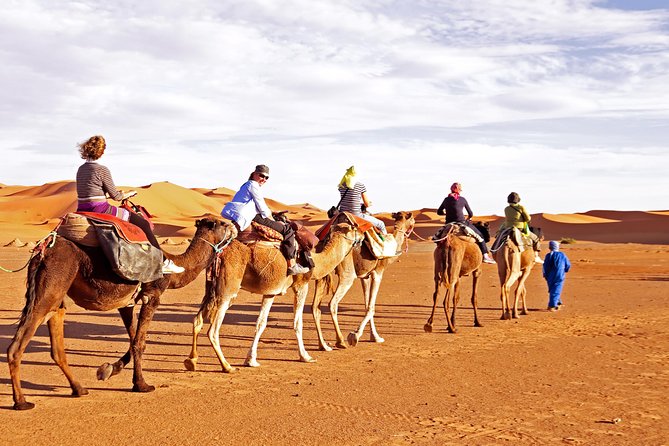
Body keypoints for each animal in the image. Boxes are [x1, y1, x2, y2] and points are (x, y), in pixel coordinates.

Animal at [7, 215, 236, 410]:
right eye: (222, 223)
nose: (234, 226)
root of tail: (43, 249)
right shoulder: (152, 296)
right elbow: (140, 342)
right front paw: (141, 385)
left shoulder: (127, 302)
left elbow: (133, 339)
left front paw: (108, 369)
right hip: (52, 284)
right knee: (19, 343)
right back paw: (22, 402)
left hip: (57, 294)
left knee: (56, 338)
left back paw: (79, 389)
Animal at [183, 222, 361, 372]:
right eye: (354, 228)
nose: (361, 236)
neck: (316, 260)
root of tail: (220, 252)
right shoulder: (301, 284)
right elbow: (298, 322)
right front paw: (305, 356)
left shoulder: (270, 292)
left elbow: (261, 323)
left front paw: (251, 360)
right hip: (227, 290)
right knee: (213, 330)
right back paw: (227, 366)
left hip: (211, 288)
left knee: (197, 320)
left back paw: (191, 361)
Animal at [312, 211, 415, 351]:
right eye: (412, 219)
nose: (413, 225)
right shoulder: (378, 272)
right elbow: (371, 307)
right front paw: (355, 335)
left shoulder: (365, 276)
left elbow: (367, 305)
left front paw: (374, 337)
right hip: (347, 273)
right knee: (333, 303)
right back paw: (340, 341)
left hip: (323, 271)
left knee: (315, 307)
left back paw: (323, 345)